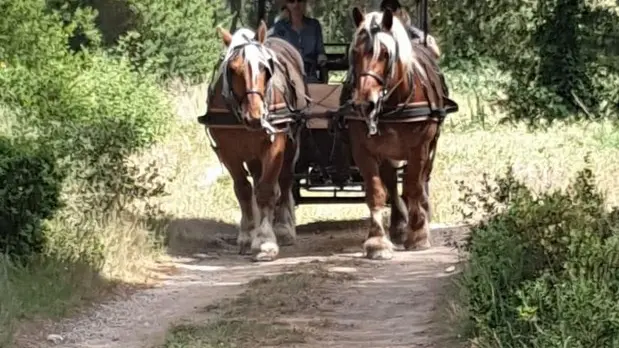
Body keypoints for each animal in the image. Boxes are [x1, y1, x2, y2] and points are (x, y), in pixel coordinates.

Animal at [201, 21, 310, 260]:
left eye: (265, 68)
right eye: (232, 69)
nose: (255, 115)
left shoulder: (275, 145)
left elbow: (267, 191)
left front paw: (266, 241)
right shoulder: (228, 152)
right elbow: (243, 190)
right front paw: (248, 234)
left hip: (292, 143)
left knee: (285, 181)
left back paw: (283, 228)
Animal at [344, 7, 460, 260]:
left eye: (385, 54)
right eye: (355, 52)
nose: (364, 104)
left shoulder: (420, 146)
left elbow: (412, 185)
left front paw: (417, 233)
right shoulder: (363, 149)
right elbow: (377, 192)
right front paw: (377, 241)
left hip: (429, 145)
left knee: (420, 179)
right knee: (390, 181)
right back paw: (397, 226)